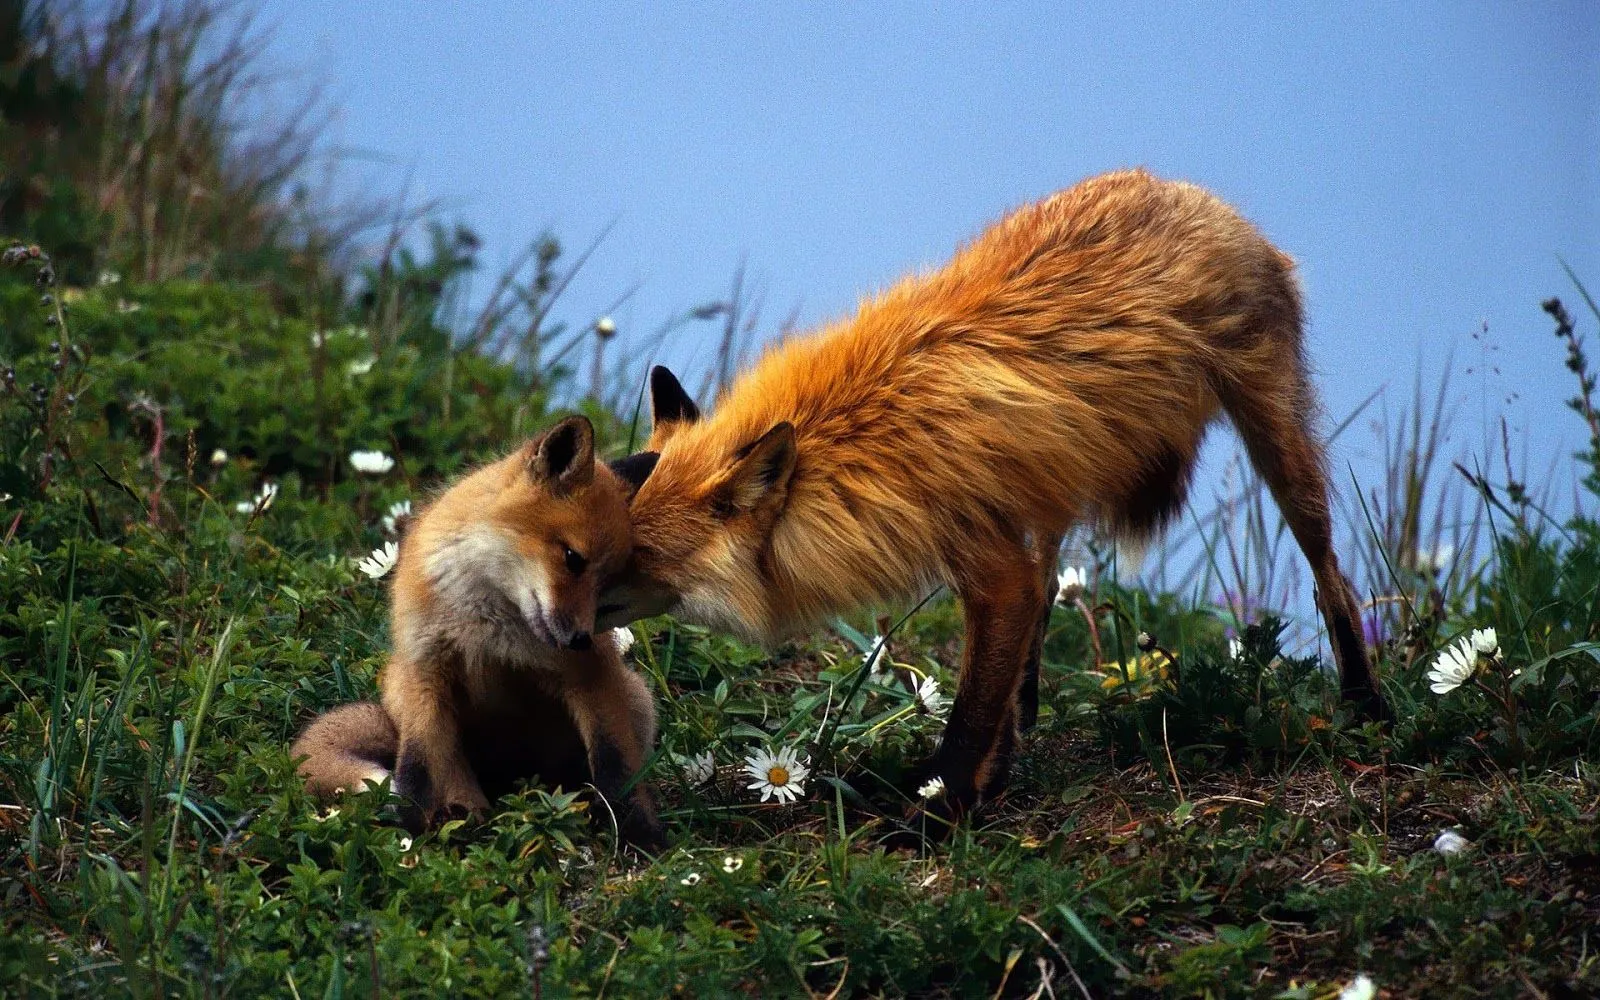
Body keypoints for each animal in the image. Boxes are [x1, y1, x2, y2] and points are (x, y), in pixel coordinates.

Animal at [291, 412, 659, 844]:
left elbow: (617, 766)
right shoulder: (425, 669)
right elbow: (416, 769)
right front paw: (414, 828)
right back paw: (465, 816)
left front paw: (642, 835)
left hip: (635, 698)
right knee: (446, 769)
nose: (582, 640)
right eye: (573, 558)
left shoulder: (591, 677)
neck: (488, 620)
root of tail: (509, 776)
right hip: (404, 689)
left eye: (607, 583)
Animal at [601, 169, 1388, 819]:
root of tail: (1194, 192)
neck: (857, 445)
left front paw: (936, 818)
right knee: (1044, 604)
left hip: (1277, 444)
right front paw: (983, 780)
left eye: (638, 556)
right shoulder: (997, 551)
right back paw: (1025, 724)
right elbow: (996, 680)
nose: (567, 612)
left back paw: (1364, 705)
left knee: (1333, 580)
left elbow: (970, 717)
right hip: (1053, 491)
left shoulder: (990, 567)